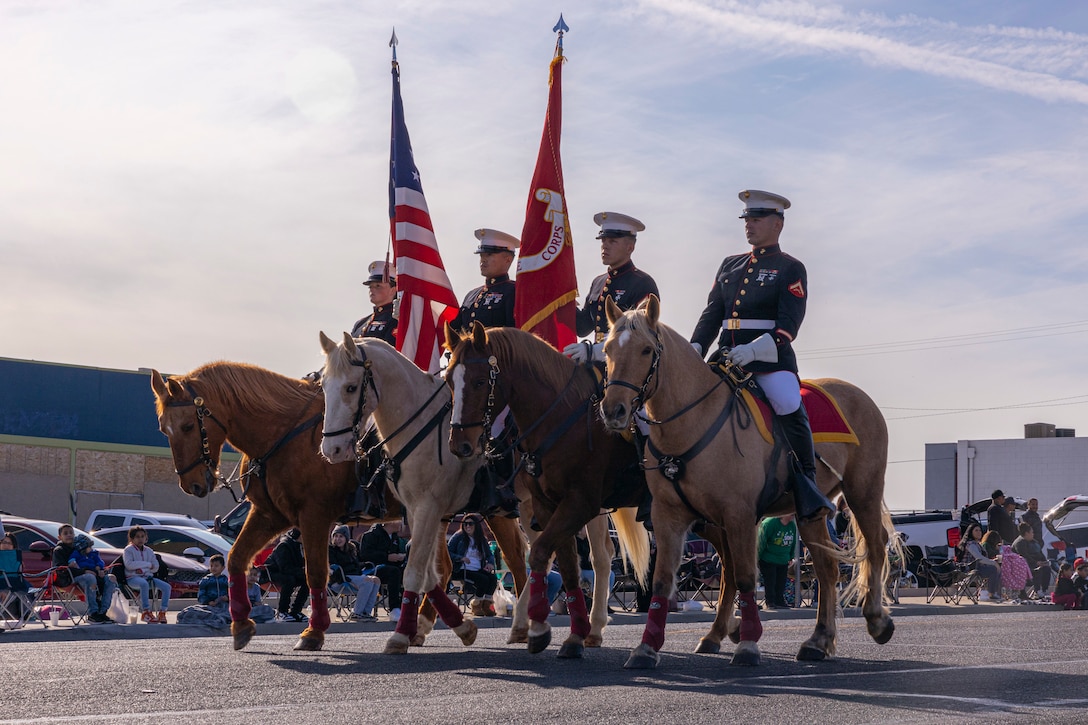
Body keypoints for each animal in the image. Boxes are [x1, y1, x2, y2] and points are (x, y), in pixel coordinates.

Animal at [152, 359, 526, 648]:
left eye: (188, 425)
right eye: (163, 428)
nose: (193, 484)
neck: (285, 434)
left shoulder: (314, 516)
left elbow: (316, 572)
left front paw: (314, 632)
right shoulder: (270, 515)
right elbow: (236, 558)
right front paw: (242, 625)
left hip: (494, 511)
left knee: (516, 562)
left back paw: (522, 625)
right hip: (437, 514)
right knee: (443, 569)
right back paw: (429, 627)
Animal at [443, 320, 648, 653]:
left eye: (478, 381)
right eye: (449, 380)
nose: (460, 445)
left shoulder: (567, 502)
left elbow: (525, 557)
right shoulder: (537, 504)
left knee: (601, 555)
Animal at [600, 296, 896, 666]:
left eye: (645, 350)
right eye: (607, 349)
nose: (613, 411)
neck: (693, 422)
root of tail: (860, 395)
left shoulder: (738, 515)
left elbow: (743, 576)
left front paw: (747, 643)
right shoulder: (669, 516)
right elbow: (663, 580)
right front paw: (647, 647)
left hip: (862, 492)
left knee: (876, 544)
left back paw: (876, 618)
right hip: (810, 512)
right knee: (827, 569)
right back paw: (818, 640)